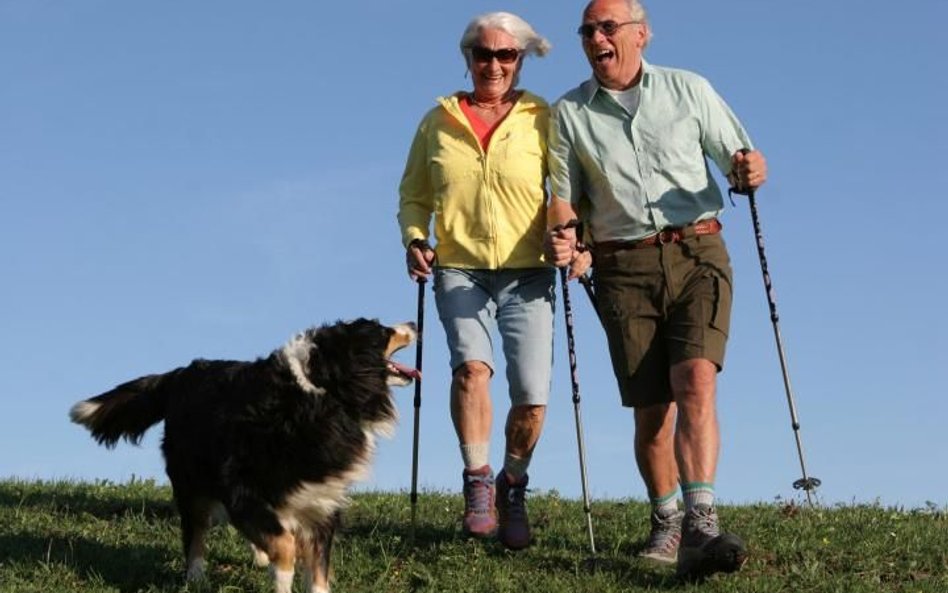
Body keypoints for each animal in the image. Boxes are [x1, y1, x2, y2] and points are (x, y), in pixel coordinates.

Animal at [68, 320, 416, 592]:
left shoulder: (321, 501)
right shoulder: (241, 486)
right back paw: (197, 577)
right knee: (196, 530)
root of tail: (181, 373)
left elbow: (317, 569)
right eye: (383, 329)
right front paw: (282, 574)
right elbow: (285, 545)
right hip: (191, 479)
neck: (321, 391)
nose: (414, 323)